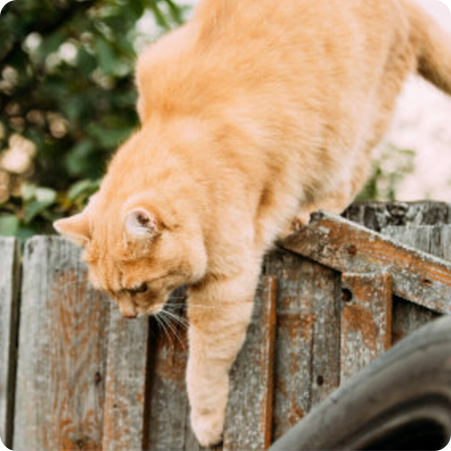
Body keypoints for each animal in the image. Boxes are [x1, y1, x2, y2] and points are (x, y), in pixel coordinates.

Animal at [54, 0, 451, 444]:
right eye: (110, 293)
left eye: (138, 288)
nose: (127, 316)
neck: (183, 129)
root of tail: (406, 9)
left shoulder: (224, 285)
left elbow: (205, 363)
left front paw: (206, 423)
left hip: (350, 128)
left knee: (352, 174)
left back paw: (308, 209)